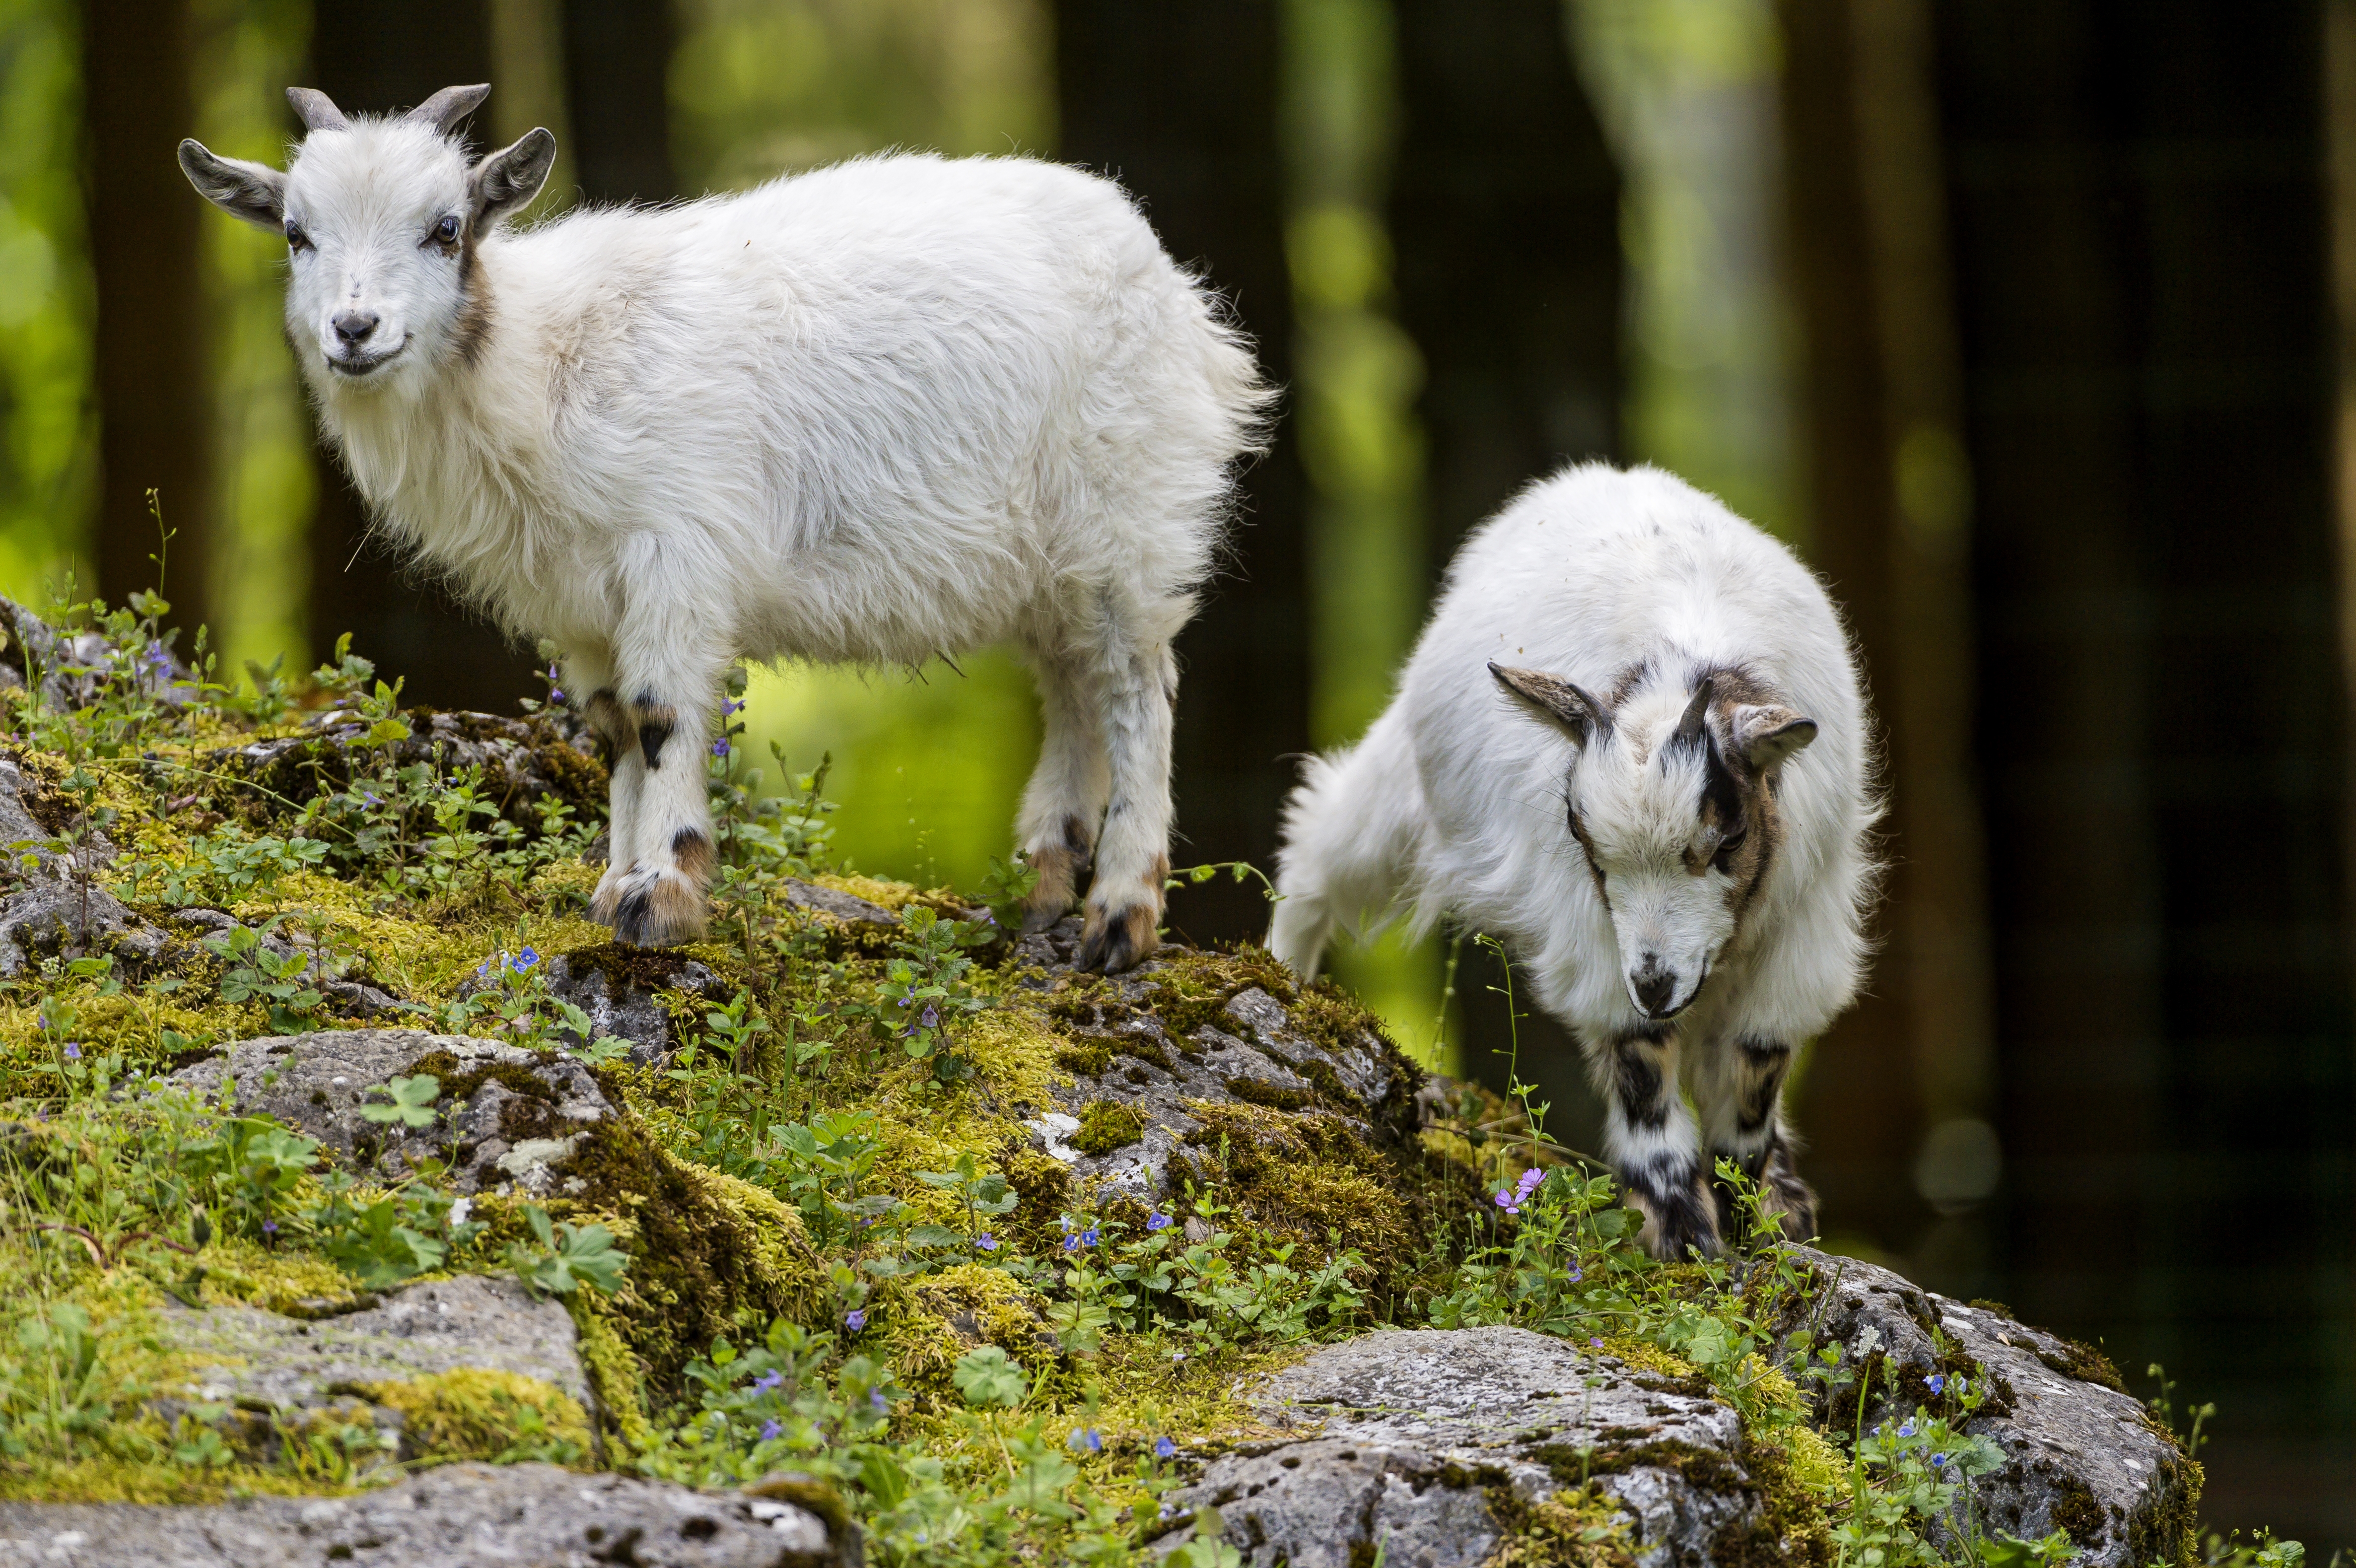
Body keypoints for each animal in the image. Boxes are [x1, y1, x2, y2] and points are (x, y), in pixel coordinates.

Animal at [184, 85, 1272, 970]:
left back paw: (1120, 917)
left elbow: (664, 713)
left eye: (446, 227)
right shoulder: (585, 604)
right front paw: (614, 885)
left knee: (1137, 690)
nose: (354, 331)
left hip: (1129, 523)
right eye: (295, 233)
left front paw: (662, 898)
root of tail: (1176, 292)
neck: (544, 360)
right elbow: (613, 728)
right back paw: (1046, 884)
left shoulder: (678, 552)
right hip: (1049, 563)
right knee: (1073, 688)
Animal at [1272, 464, 1875, 1262]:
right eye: (1583, 838)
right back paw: (1284, 977)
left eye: (1727, 840)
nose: (1656, 984)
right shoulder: (1588, 926)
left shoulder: (1802, 925)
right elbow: (1640, 1063)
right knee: (1320, 842)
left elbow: (1753, 1075)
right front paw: (1681, 1231)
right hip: (1406, 791)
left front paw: (1762, 1218)